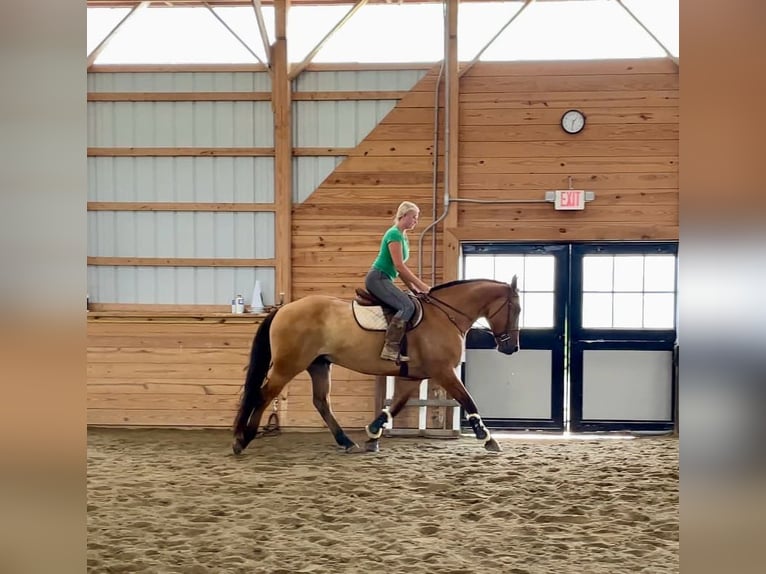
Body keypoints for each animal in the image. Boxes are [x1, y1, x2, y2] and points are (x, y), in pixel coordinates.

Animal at [232, 276, 520, 456]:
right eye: (516, 309)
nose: (512, 348)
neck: (444, 315)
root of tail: (283, 309)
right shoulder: (443, 372)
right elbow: (468, 400)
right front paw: (487, 437)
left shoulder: (417, 375)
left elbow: (397, 405)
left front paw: (373, 433)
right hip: (288, 365)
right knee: (263, 395)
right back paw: (242, 438)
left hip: (318, 365)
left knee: (321, 402)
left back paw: (346, 442)